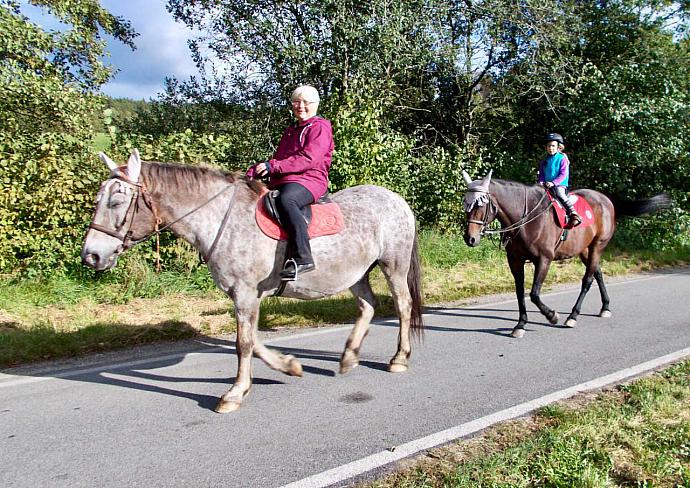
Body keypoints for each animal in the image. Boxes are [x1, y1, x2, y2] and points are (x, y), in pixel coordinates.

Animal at [81, 149, 424, 413]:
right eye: (98, 199)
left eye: (116, 201)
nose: (91, 256)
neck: (222, 218)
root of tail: (397, 200)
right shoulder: (244, 295)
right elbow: (253, 340)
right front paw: (288, 365)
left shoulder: (246, 293)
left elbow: (243, 343)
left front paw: (234, 393)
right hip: (356, 273)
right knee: (368, 306)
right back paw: (349, 357)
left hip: (393, 265)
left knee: (403, 306)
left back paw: (399, 358)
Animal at [462, 170, 670, 338]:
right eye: (466, 204)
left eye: (480, 205)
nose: (470, 238)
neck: (527, 218)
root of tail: (607, 200)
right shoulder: (515, 261)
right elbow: (520, 292)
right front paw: (520, 325)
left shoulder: (544, 260)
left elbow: (534, 294)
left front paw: (552, 316)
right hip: (584, 249)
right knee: (598, 273)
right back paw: (605, 307)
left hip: (597, 246)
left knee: (587, 280)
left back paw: (573, 316)